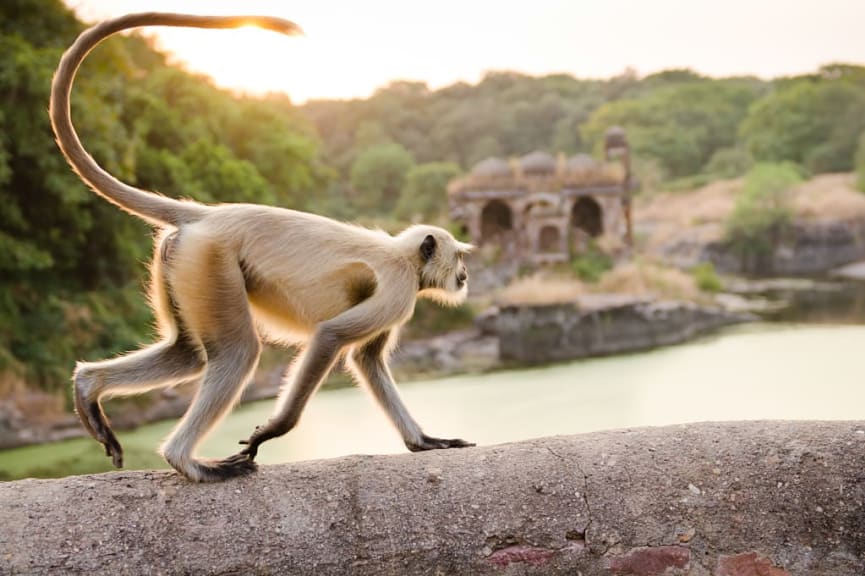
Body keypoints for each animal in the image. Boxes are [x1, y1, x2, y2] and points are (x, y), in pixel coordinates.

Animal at [49, 12, 472, 482]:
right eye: (459, 258)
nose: (465, 275)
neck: (404, 255)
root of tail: (207, 216)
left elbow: (367, 360)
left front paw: (423, 441)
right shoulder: (399, 289)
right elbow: (330, 337)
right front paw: (272, 431)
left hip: (184, 263)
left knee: (188, 355)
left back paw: (88, 387)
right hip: (210, 261)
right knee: (238, 351)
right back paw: (186, 461)